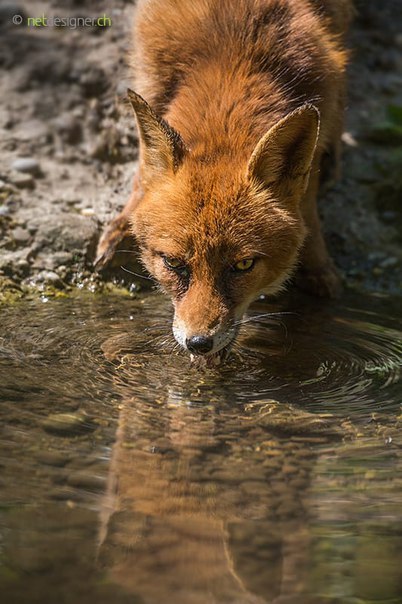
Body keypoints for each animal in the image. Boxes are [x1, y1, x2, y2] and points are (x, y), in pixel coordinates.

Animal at [96, 0, 352, 360]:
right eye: (173, 263)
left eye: (243, 264)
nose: (199, 343)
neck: (233, 58)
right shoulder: (149, 72)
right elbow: (142, 171)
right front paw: (123, 222)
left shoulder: (325, 87)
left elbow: (309, 206)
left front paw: (318, 266)